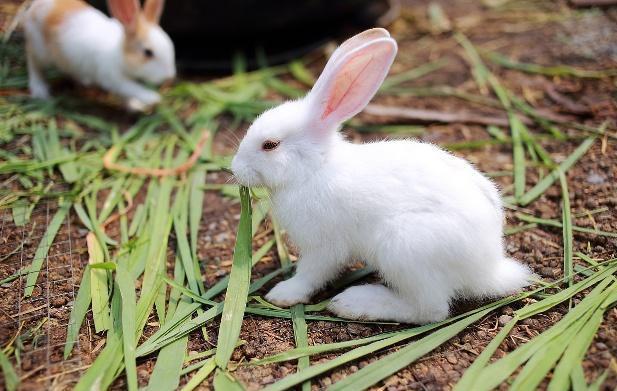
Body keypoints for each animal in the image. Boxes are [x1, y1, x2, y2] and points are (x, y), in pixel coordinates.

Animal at [22, 0, 174, 110]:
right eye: (148, 52)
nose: (169, 77)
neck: (119, 53)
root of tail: (34, 7)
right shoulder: (113, 79)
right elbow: (132, 89)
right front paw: (153, 98)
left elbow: (128, 95)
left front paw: (136, 105)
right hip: (41, 51)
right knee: (32, 60)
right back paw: (39, 90)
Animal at [231, 28, 528, 324]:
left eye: (270, 145)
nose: (234, 169)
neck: (315, 167)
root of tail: (489, 268)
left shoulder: (324, 245)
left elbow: (312, 272)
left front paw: (282, 294)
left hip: (404, 249)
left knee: (431, 309)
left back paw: (355, 303)